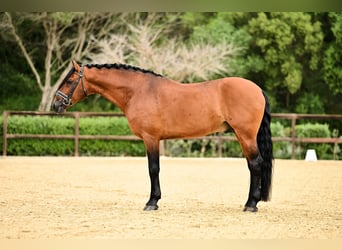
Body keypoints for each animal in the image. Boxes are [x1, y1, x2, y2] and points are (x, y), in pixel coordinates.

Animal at [52, 60, 272, 213]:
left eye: (70, 80)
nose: (56, 105)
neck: (138, 91)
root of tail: (257, 89)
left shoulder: (151, 138)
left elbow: (153, 169)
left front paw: (152, 202)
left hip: (245, 136)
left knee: (256, 164)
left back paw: (251, 204)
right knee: (253, 166)